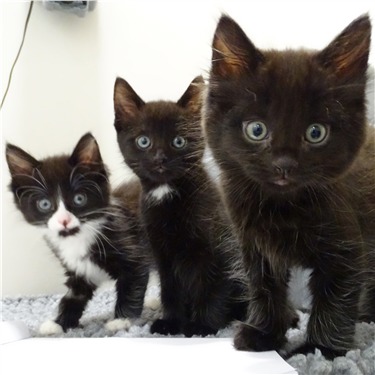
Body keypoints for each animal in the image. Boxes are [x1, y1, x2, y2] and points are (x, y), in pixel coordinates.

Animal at [5, 134, 151, 334]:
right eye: (44, 204)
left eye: (79, 199)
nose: (64, 221)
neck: (78, 237)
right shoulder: (78, 271)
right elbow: (73, 296)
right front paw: (58, 324)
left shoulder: (131, 248)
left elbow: (132, 286)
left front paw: (122, 320)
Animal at [114, 75, 250, 336]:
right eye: (144, 141)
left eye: (178, 141)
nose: (160, 158)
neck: (166, 193)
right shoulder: (162, 254)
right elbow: (171, 289)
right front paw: (172, 322)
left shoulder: (217, 249)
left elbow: (211, 286)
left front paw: (202, 325)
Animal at [204, 14, 375, 360]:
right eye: (256, 130)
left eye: (315, 133)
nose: (284, 164)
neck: (281, 206)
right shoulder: (253, 246)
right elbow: (264, 289)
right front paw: (264, 335)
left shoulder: (346, 248)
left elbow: (335, 301)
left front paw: (319, 350)